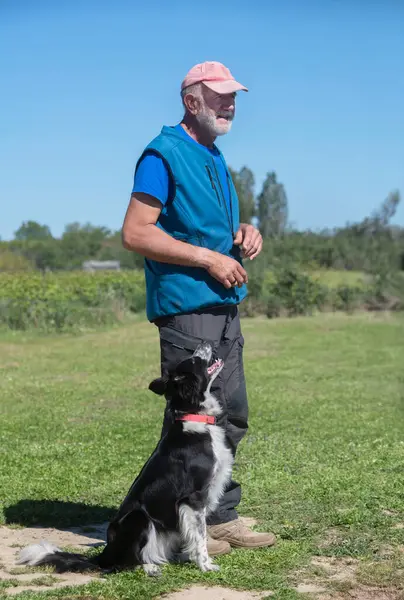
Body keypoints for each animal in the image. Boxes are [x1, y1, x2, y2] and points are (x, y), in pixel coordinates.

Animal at [18, 342, 234, 576]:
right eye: (195, 360)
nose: (205, 343)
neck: (194, 416)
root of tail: (104, 555)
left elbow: (192, 536)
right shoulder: (193, 498)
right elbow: (200, 536)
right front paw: (205, 565)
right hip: (139, 518)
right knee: (125, 563)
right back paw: (149, 567)